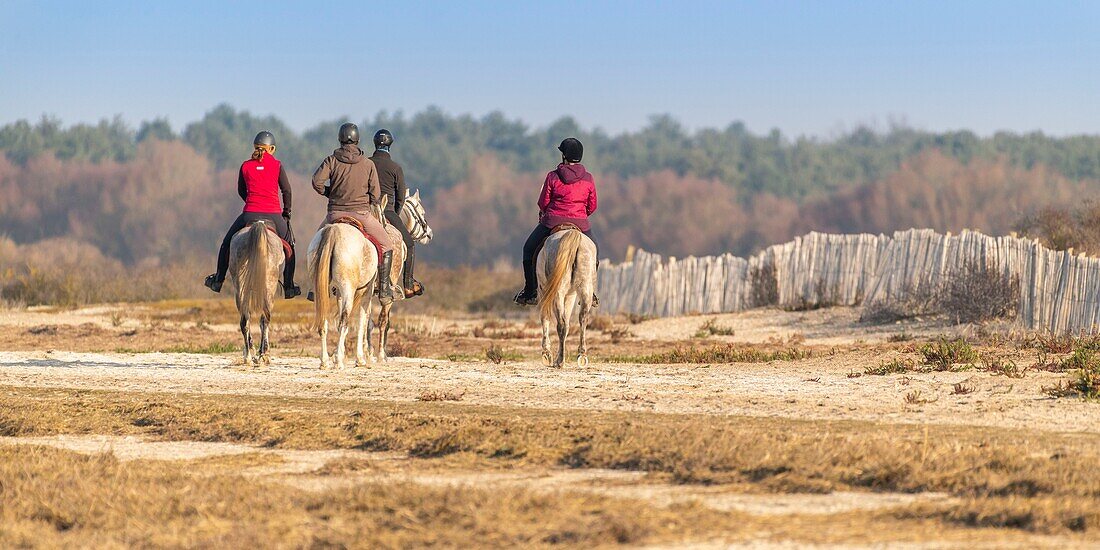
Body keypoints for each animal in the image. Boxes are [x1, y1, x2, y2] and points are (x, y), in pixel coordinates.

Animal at [226, 221, 286, 367]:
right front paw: (263, 353)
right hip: (269, 288)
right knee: (265, 319)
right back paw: (262, 354)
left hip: (240, 286)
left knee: (244, 320)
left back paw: (248, 356)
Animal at [536, 225, 598, 367]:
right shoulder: (571, 295)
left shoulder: (543, 293)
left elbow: (545, 318)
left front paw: (546, 353)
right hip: (585, 290)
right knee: (582, 319)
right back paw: (581, 355)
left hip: (557, 293)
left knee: (561, 324)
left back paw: (559, 361)